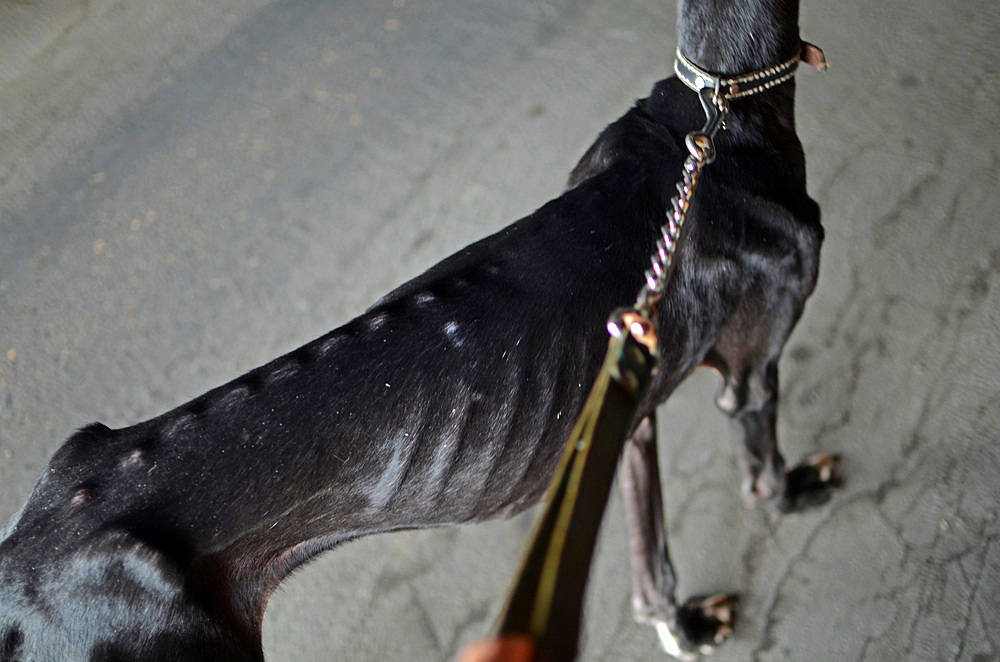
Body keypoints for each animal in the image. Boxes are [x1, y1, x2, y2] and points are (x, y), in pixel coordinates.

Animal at [0, 2, 836, 660]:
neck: (716, 110)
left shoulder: (625, 410)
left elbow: (649, 558)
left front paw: (682, 630)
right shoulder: (750, 370)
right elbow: (761, 471)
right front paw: (797, 492)